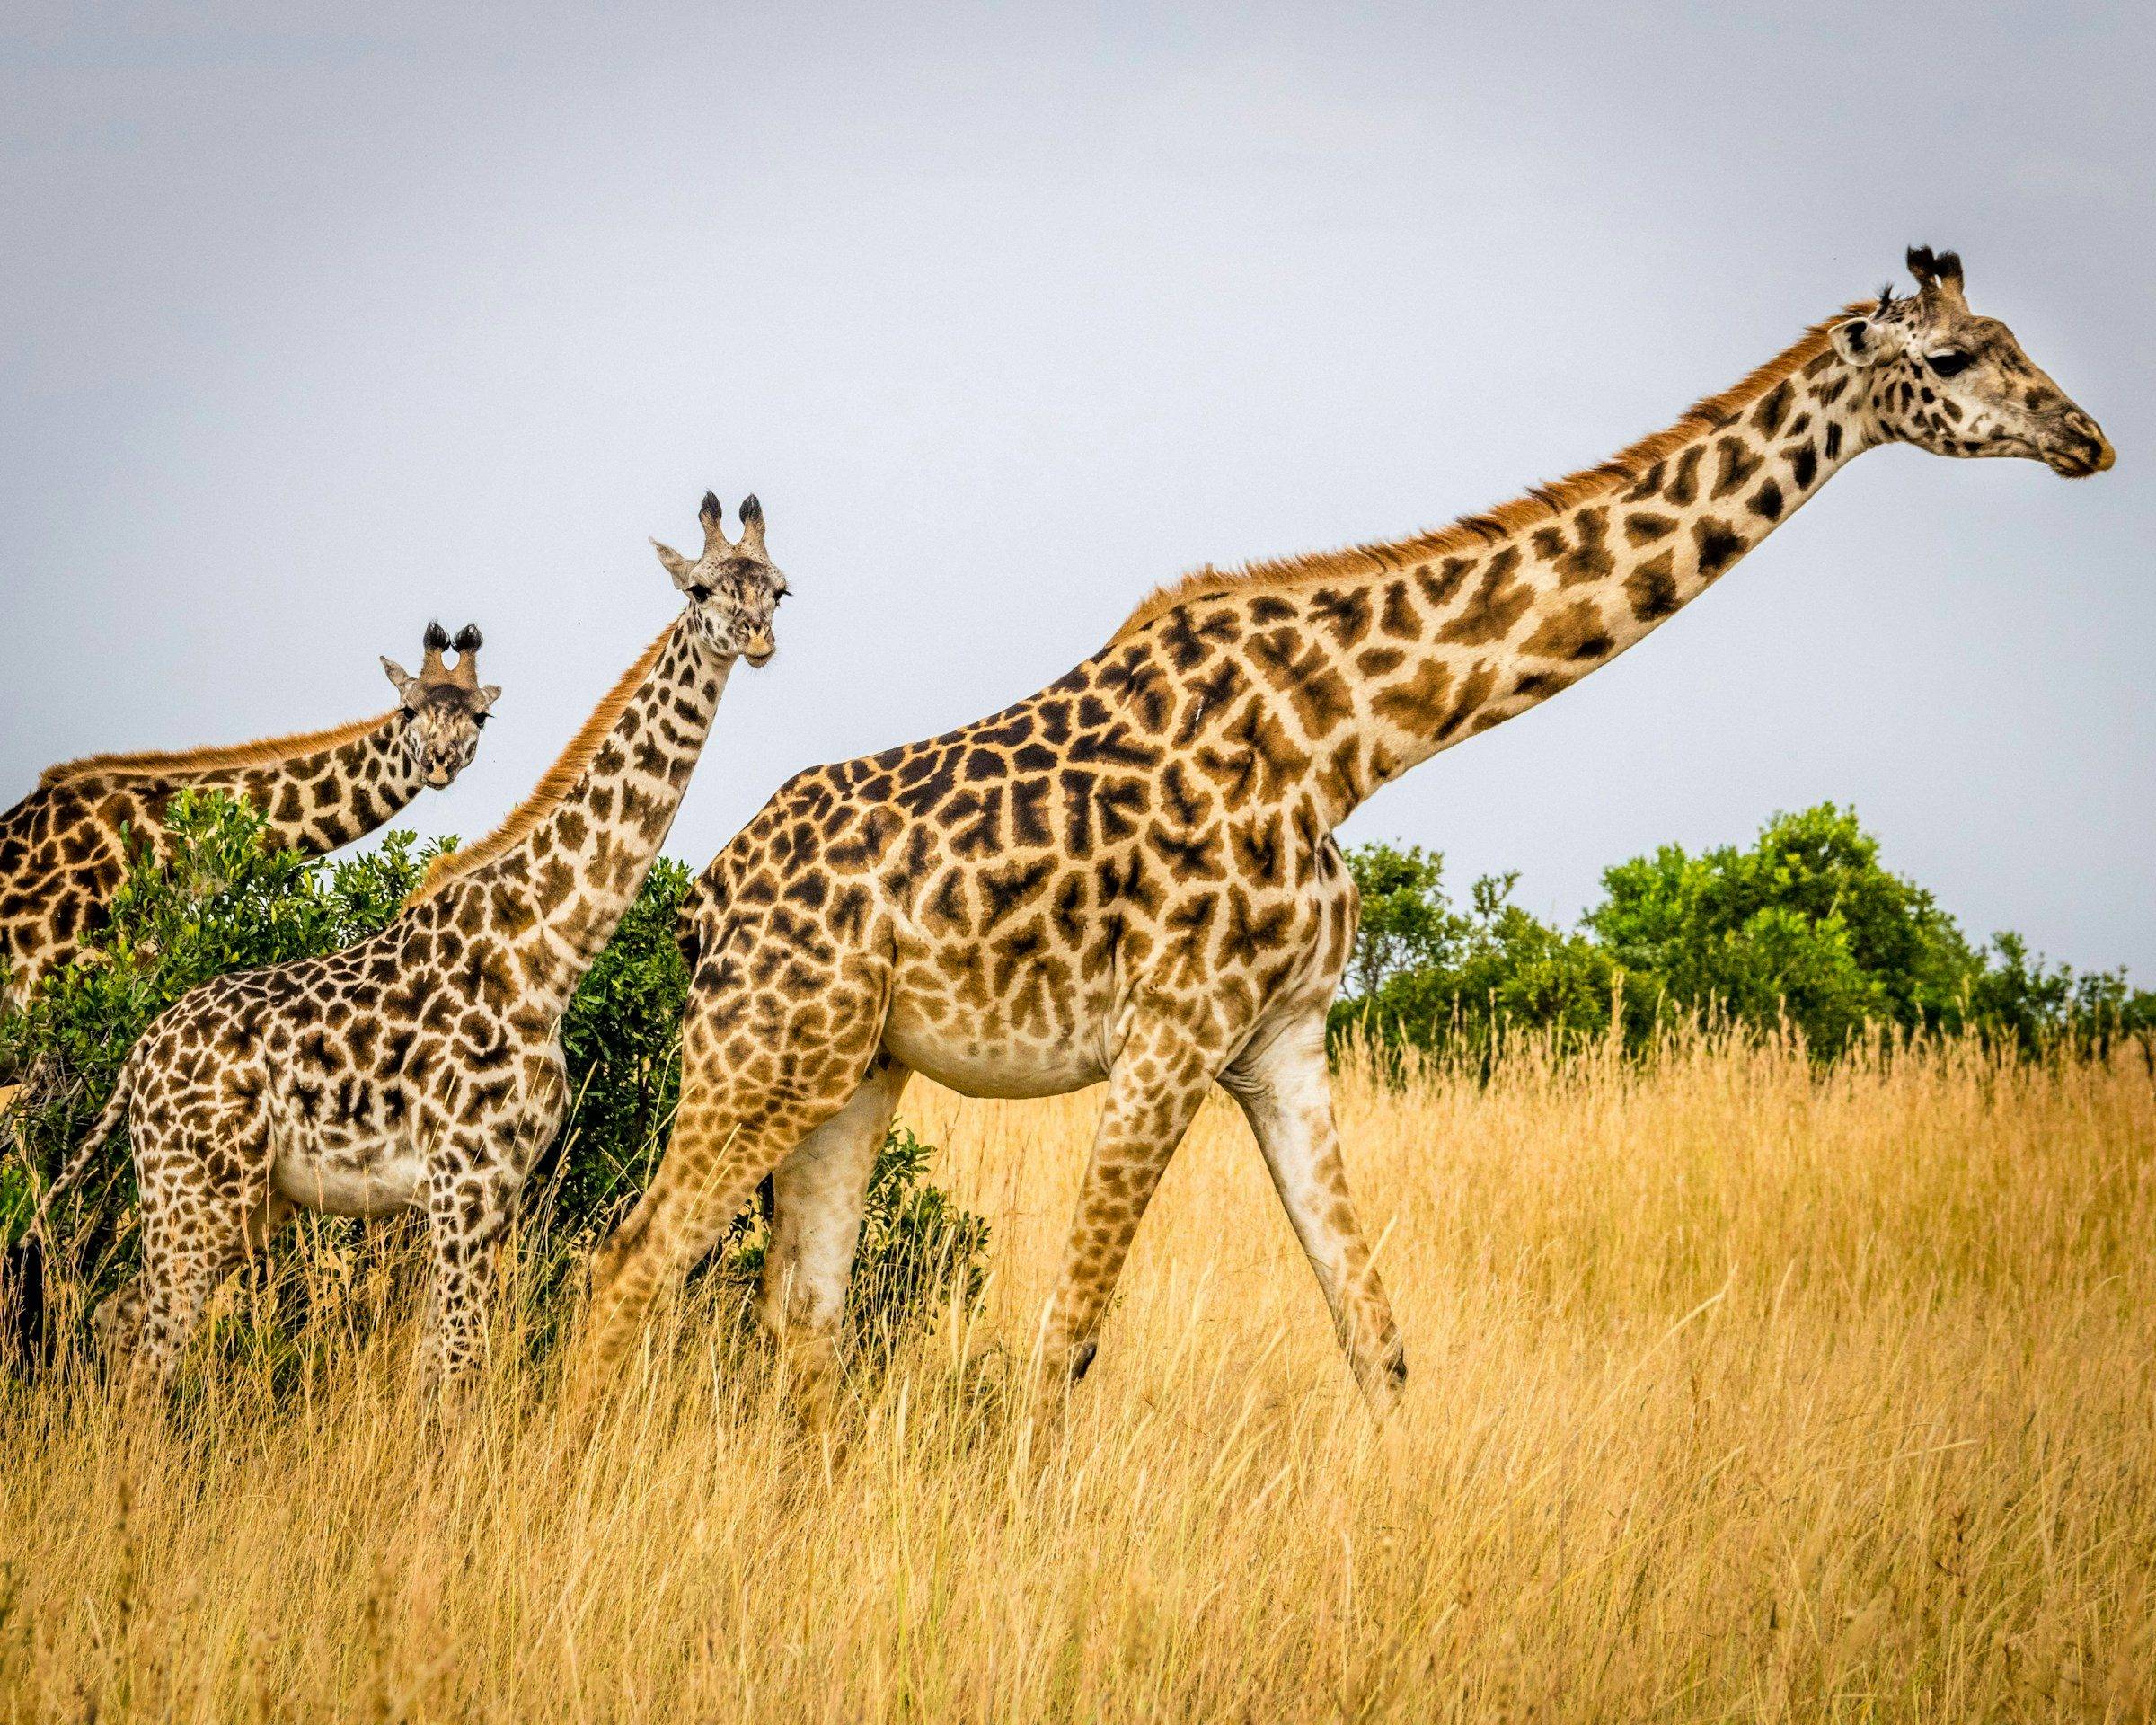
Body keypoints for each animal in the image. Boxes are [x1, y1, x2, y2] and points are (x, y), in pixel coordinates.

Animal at [571, 247, 2110, 1420]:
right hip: (761, 1057)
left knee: (804, 1306)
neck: (1352, 740)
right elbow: (1066, 1341)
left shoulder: (1284, 1043)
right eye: (1955, 359)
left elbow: (1376, 1339)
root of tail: (702, 901)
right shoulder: (1172, 1035)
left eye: (2015, 338)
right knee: (628, 1262)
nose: (2086, 439)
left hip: (855, 1071)